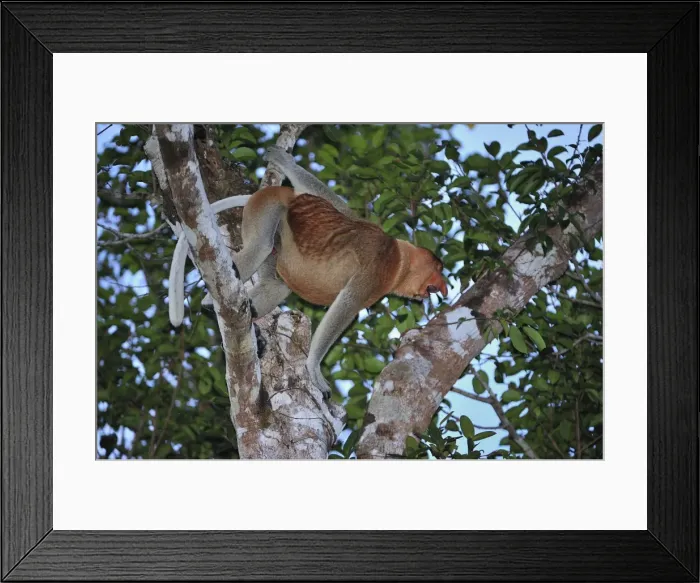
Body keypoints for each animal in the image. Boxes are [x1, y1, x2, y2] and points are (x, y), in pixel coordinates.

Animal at [167, 145, 448, 399]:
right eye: (438, 268)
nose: (444, 286)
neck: (401, 260)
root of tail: (280, 192)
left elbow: (342, 210)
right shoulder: (379, 264)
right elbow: (346, 305)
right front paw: (314, 369)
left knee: (277, 283)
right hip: (267, 207)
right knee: (260, 246)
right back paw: (210, 303)